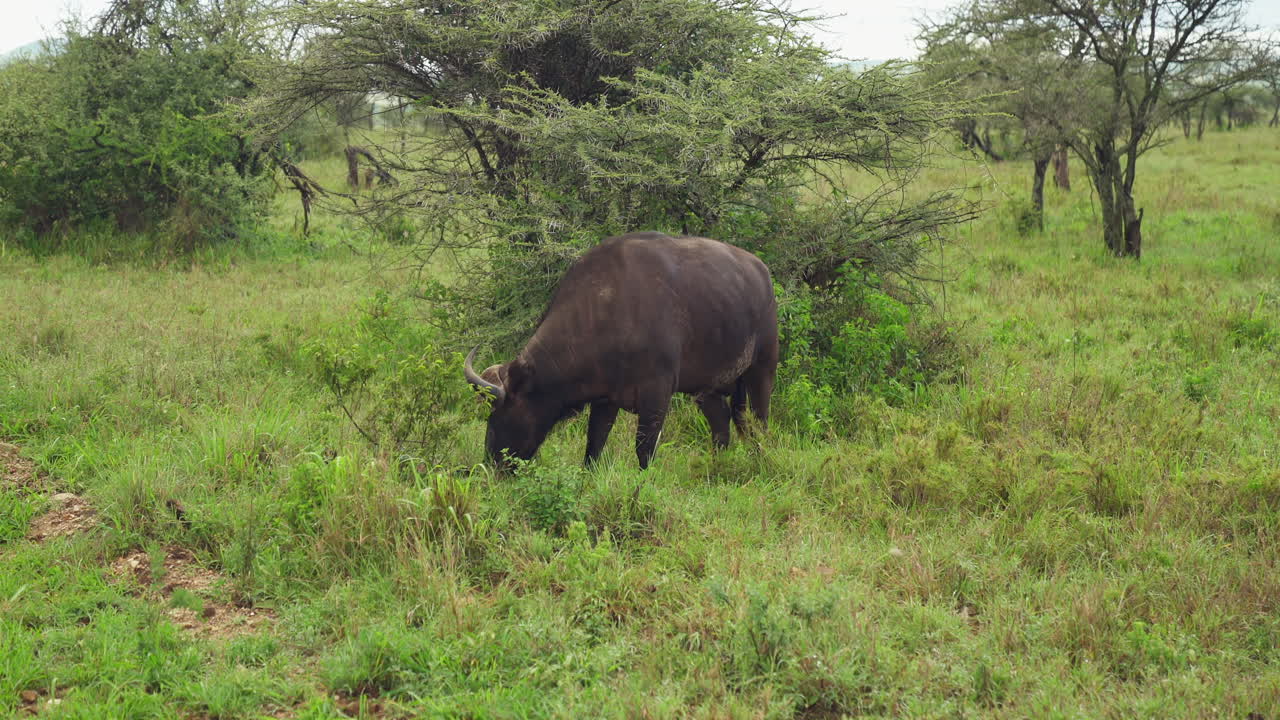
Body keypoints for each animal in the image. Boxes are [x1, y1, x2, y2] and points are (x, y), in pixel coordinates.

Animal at [464, 231, 778, 471]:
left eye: (497, 416)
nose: (490, 465)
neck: (608, 309)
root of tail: (762, 272)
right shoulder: (605, 399)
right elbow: (594, 445)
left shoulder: (657, 393)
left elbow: (644, 448)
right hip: (706, 388)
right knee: (722, 424)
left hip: (762, 369)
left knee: (759, 422)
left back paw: (762, 460)